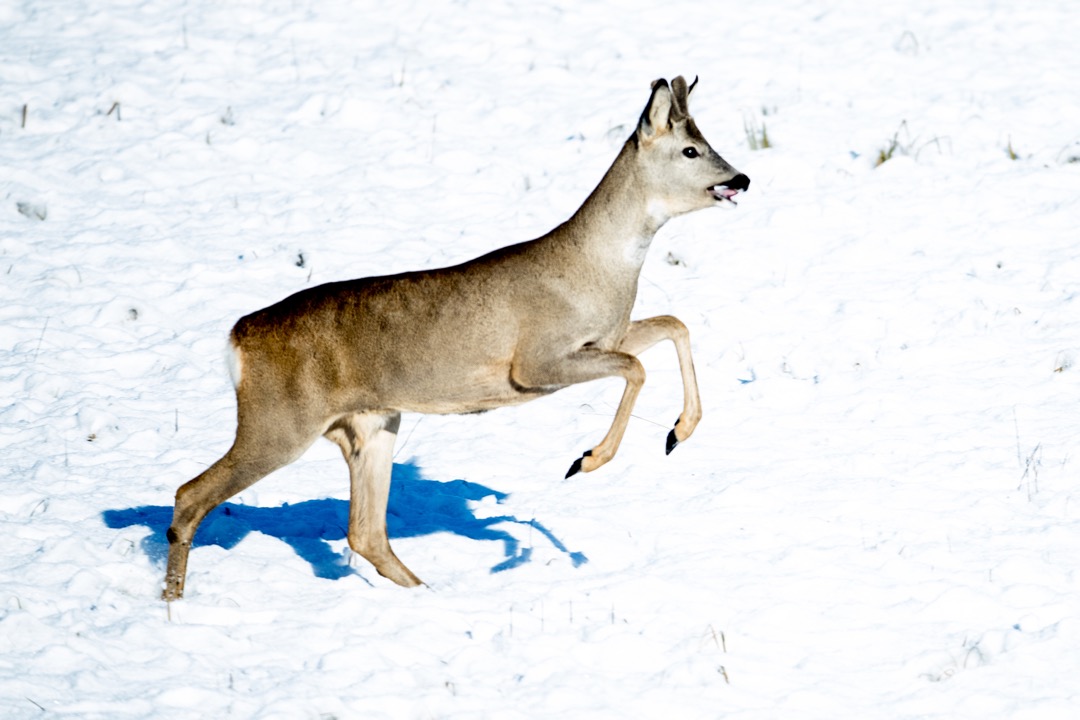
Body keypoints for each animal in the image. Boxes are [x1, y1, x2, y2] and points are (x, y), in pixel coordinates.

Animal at [162, 76, 751, 600]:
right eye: (691, 149)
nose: (741, 179)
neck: (597, 266)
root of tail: (237, 338)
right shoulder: (535, 363)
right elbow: (637, 365)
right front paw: (587, 460)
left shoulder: (606, 335)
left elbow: (674, 325)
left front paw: (678, 432)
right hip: (279, 420)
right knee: (190, 495)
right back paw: (173, 604)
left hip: (371, 423)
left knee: (365, 532)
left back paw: (430, 594)